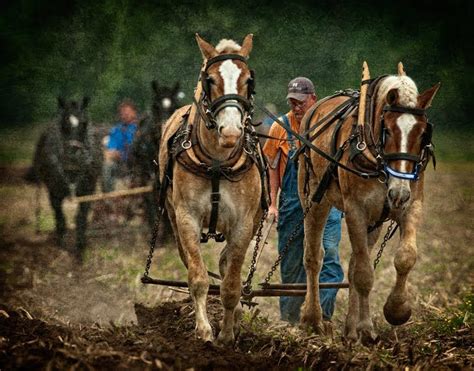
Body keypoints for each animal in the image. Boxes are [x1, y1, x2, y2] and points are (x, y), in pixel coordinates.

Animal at [27, 97, 103, 260]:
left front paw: (80, 249)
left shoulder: (87, 191)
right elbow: (60, 219)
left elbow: (81, 219)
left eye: (84, 123)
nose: (74, 154)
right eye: (64, 124)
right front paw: (60, 248)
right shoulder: (54, 193)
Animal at [159, 35, 266, 346]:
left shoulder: (243, 223)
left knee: (227, 262)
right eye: (210, 80)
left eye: (248, 80)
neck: (218, 163)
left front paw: (227, 335)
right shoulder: (187, 218)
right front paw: (205, 330)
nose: (230, 132)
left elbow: (231, 282)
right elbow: (197, 277)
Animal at [298, 63, 438, 342]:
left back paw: (351, 328)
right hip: (314, 199)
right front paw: (364, 327)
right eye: (388, 130)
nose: (398, 193)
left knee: (352, 264)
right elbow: (364, 274)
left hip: (375, 220)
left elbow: (405, 257)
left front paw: (395, 311)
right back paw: (313, 319)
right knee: (313, 258)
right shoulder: (356, 210)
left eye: (422, 133)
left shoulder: (411, 205)